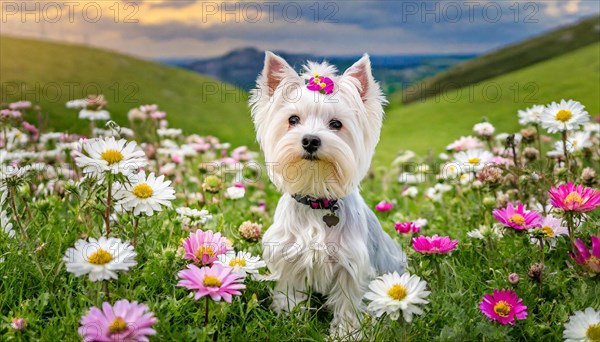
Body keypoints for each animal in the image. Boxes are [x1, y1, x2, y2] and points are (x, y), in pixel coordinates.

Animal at [248, 52, 408, 336]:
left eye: (336, 124)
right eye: (293, 120)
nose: (310, 140)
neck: (316, 201)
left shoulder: (350, 268)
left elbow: (348, 305)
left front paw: (345, 334)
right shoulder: (289, 260)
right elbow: (291, 297)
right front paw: (292, 324)